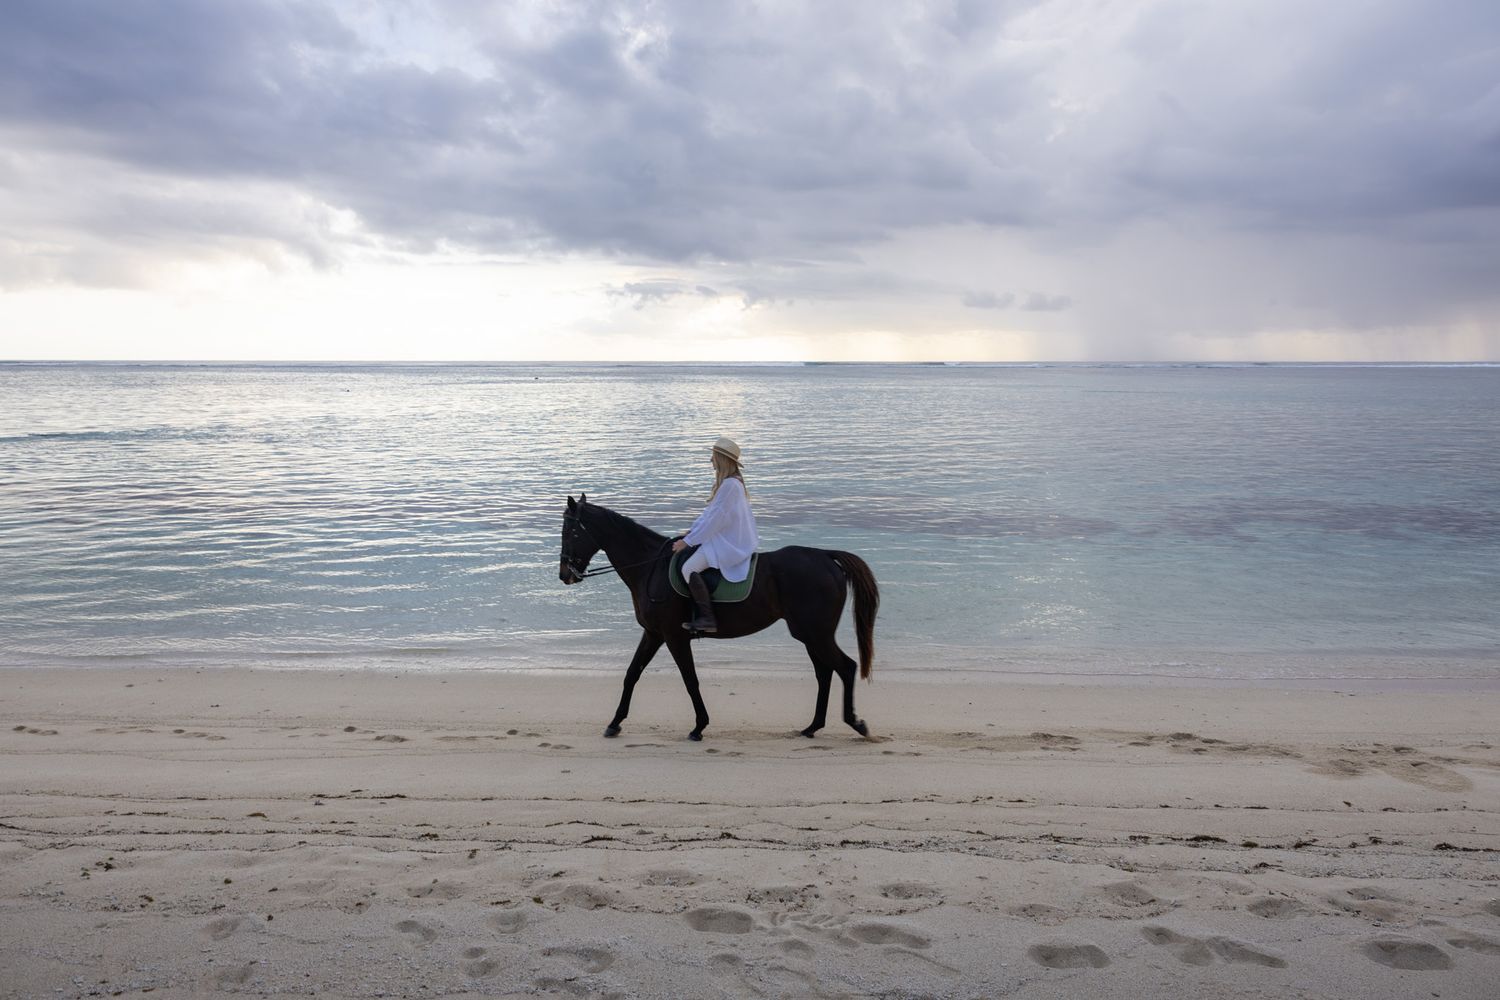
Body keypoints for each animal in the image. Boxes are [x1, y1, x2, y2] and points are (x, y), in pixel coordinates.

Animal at [559, 494, 879, 742]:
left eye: (570, 532)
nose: (564, 575)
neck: (651, 567)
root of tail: (825, 556)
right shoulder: (653, 634)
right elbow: (631, 674)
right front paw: (614, 723)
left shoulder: (674, 637)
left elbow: (690, 680)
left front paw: (699, 726)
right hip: (811, 635)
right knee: (825, 673)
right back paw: (812, 727)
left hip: (815, 633)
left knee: (845, 667)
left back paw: (855, 723)